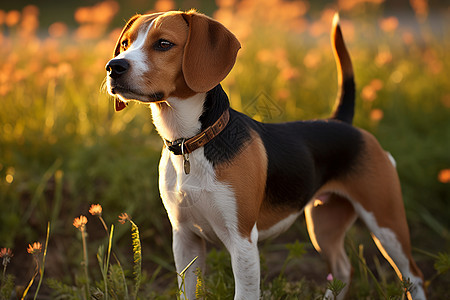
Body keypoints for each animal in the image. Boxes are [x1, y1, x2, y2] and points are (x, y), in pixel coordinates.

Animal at [104, 9, 426, 300]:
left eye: (163, 44)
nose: (113, 66)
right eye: (125, 44)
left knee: (412, 276)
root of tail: (341, 122)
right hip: (323, 226)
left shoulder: (243, 242)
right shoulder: (185, 239)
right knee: (343, 270)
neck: (192, 142)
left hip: (387, 224)